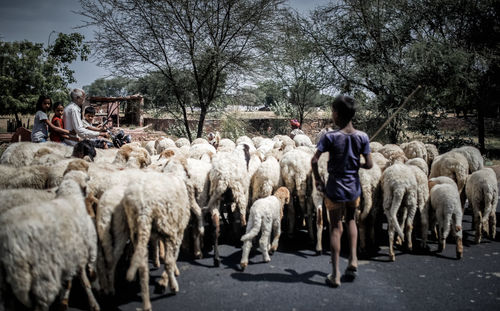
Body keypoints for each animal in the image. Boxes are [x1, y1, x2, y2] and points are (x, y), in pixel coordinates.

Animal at [0, 171, 100, 311]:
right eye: (86, 180)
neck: (69, 198)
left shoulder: (69, 254)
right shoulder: (79, 249)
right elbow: (84, 279)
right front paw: (93, 302)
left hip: (7, 279)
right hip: (44, 272)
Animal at [123, 173, 193, 311]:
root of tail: (143, 207)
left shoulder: (157, 233)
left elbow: (157, 245)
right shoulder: (177, 231)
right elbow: (172, 257)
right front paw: (167, 278)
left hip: (138, 231)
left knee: (143, 268)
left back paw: (146, 304)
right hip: (167, 226)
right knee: (168, 261)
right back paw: (173, 287)